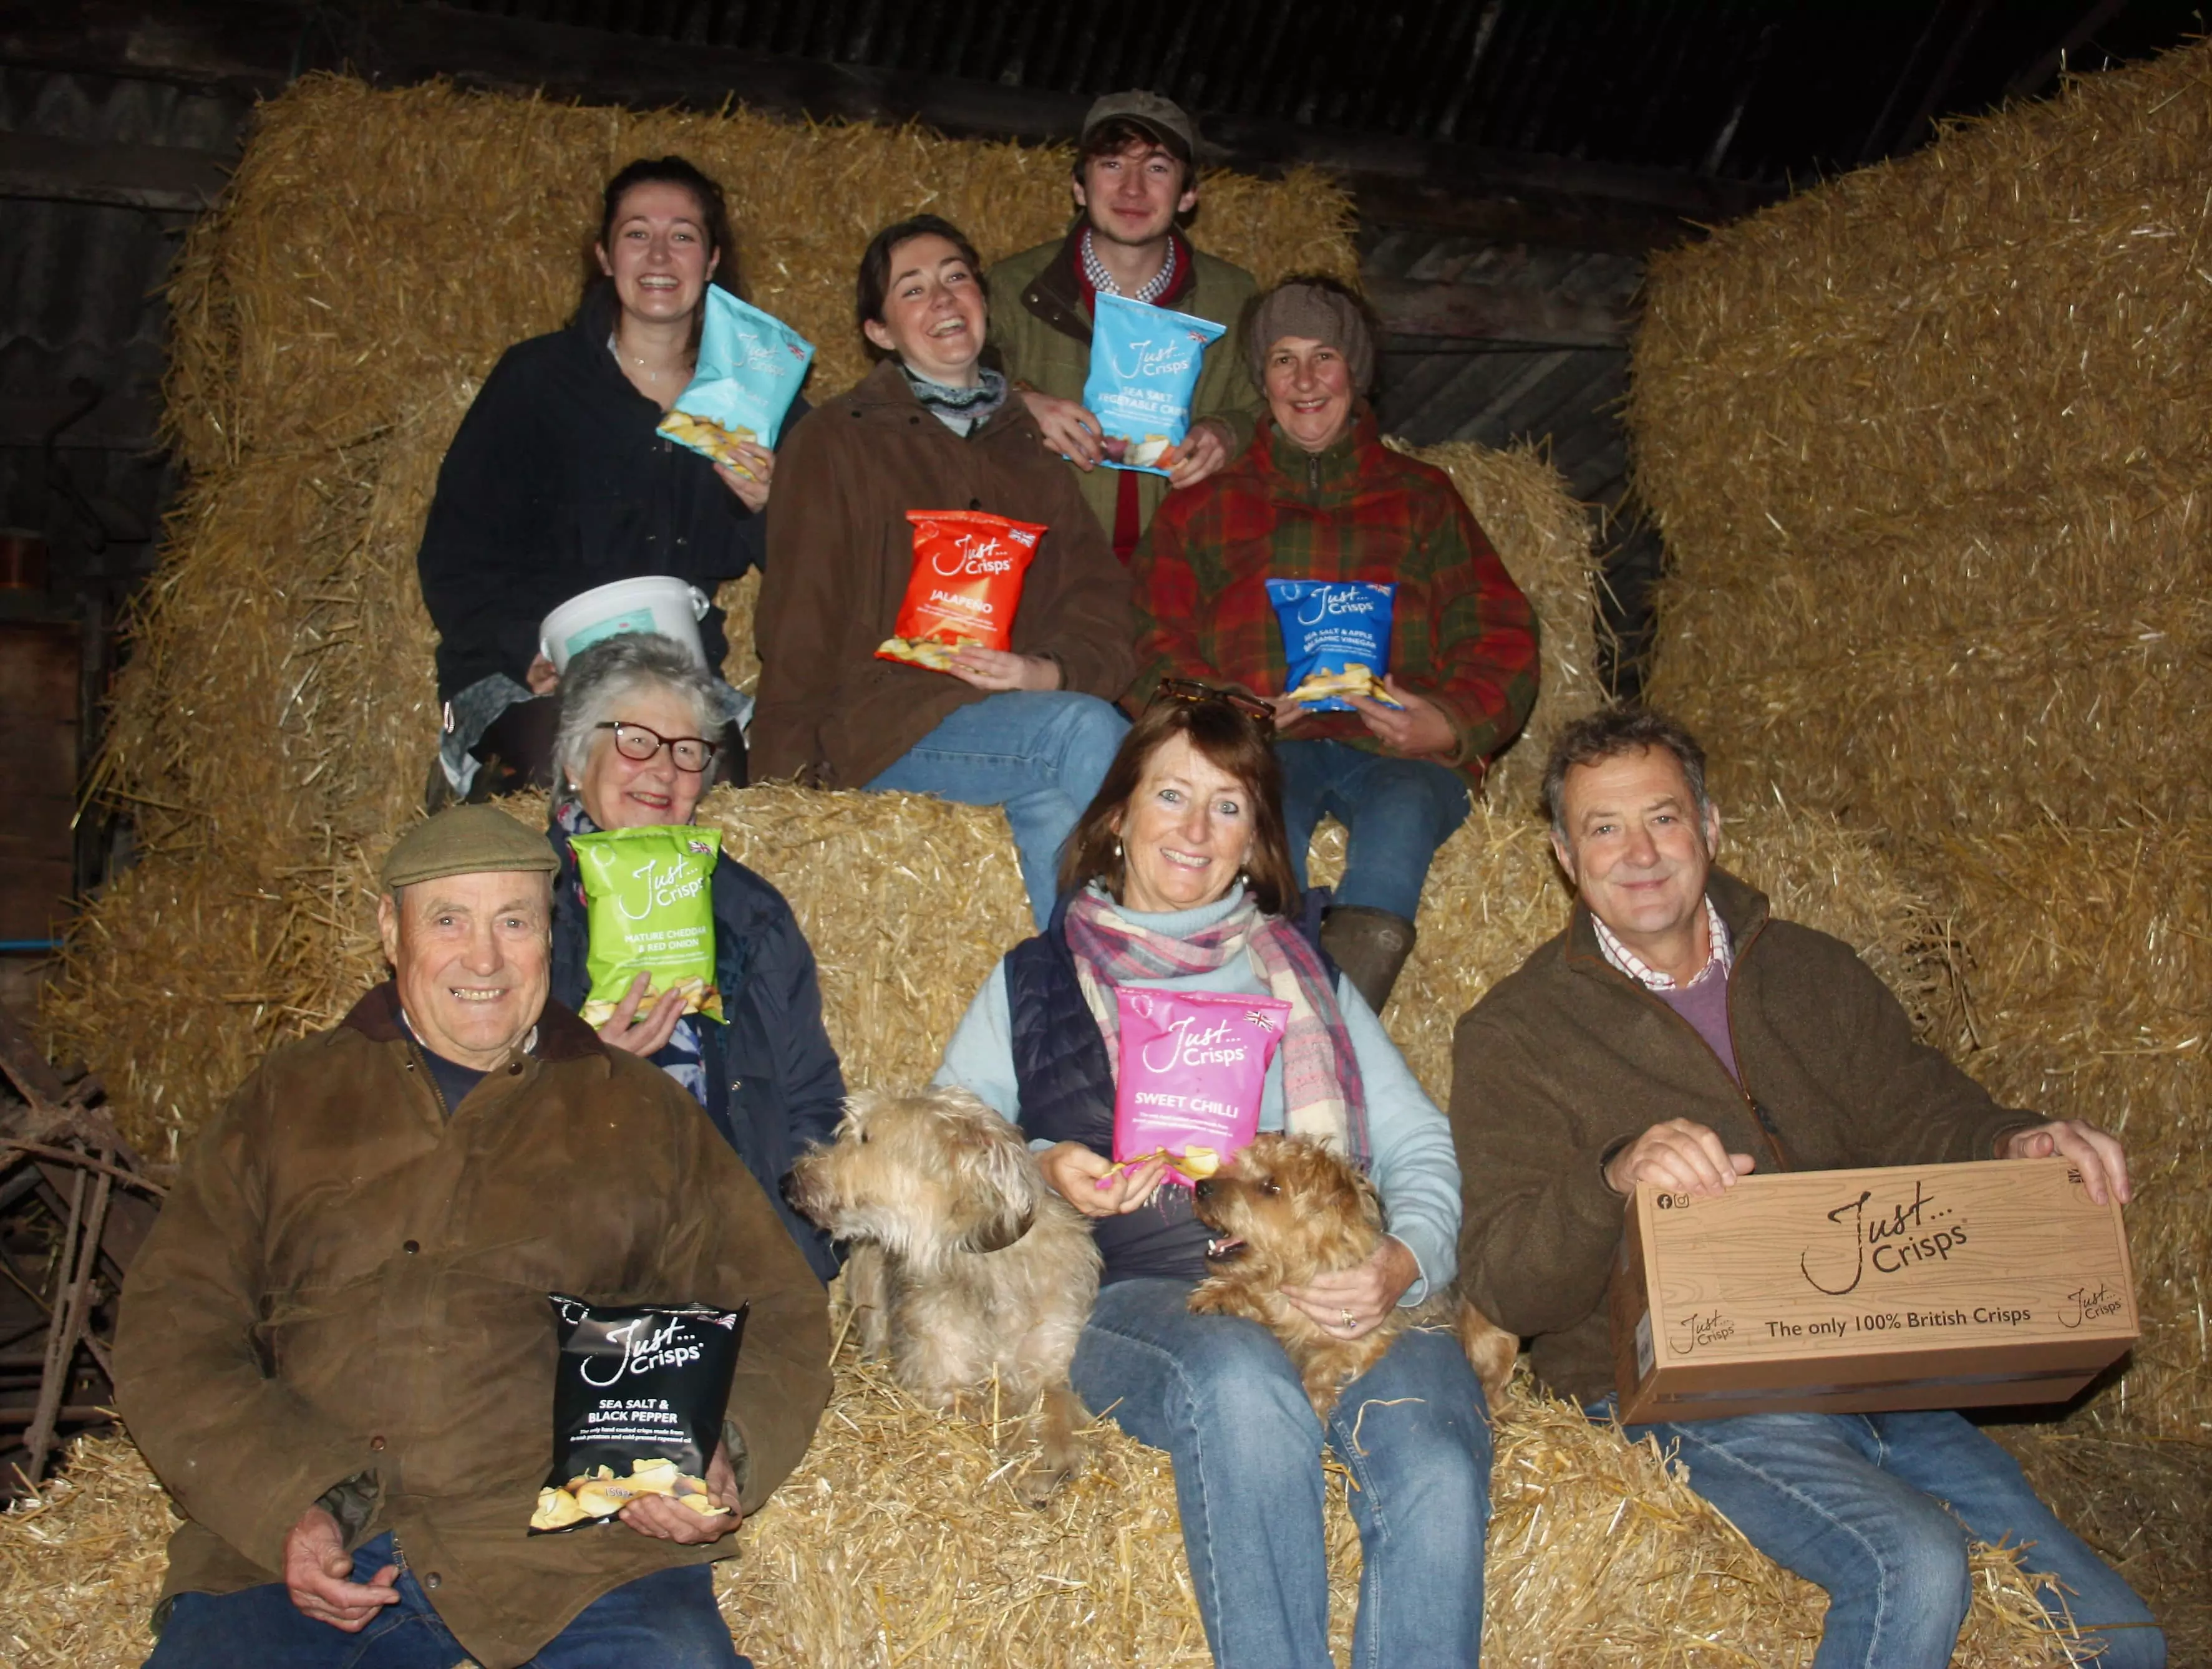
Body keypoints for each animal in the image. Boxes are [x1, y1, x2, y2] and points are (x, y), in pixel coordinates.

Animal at [796, 1091, 1106, 1512]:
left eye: (865, 1137)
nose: (788, 1180)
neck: (982, 1254)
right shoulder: (943, 1382)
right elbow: (996, 1409)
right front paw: (1026, 1452)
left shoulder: (1048, 1364)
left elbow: (1055, 1401)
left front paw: (1055, 1449)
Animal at [1194, 1127, 1521, 1415]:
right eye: (1237, 1166)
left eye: (1272, 1186)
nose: (1201, 1187)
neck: (1301, 1271)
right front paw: (1216, 1295)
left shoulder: (1362, 1341)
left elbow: (1321, 1368)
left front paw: (1314, 1403)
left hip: (1485, 1341)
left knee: (1495, 1383)